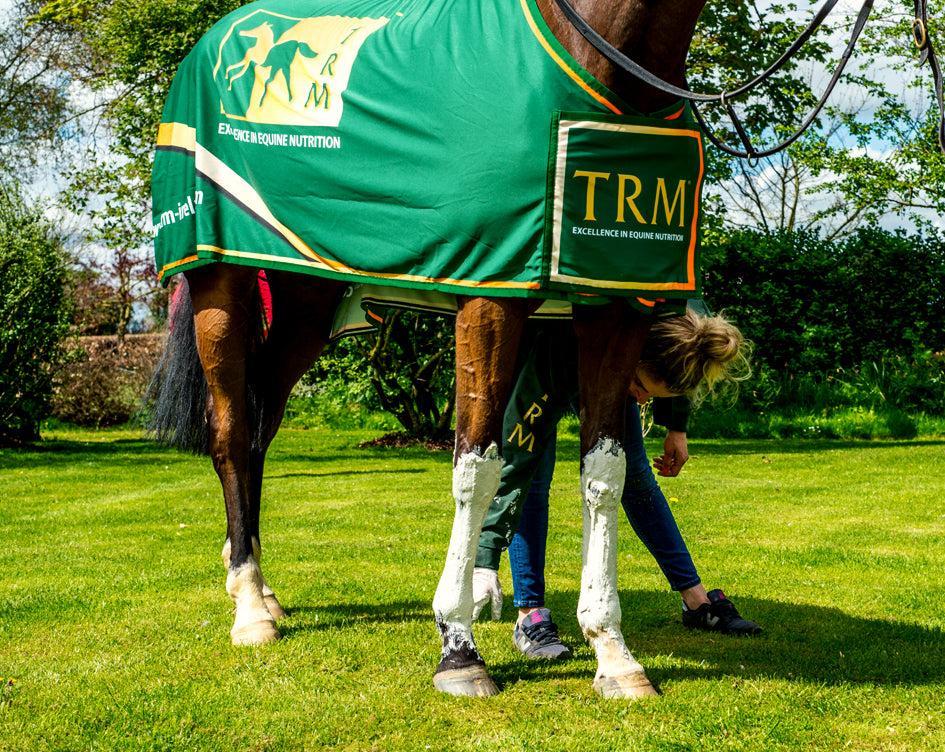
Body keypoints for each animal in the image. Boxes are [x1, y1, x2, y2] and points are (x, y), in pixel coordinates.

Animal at [151, 0, 711, 700]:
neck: (603, 59)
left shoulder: (614, 305)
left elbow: (606, 475)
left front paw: (613, 654)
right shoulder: (491, 295)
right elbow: (478, 465)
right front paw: (458, 647)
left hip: (306, 299)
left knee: (257, 432)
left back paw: (256, 583)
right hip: (219, 286)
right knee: (229, 435)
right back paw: (252, 607)